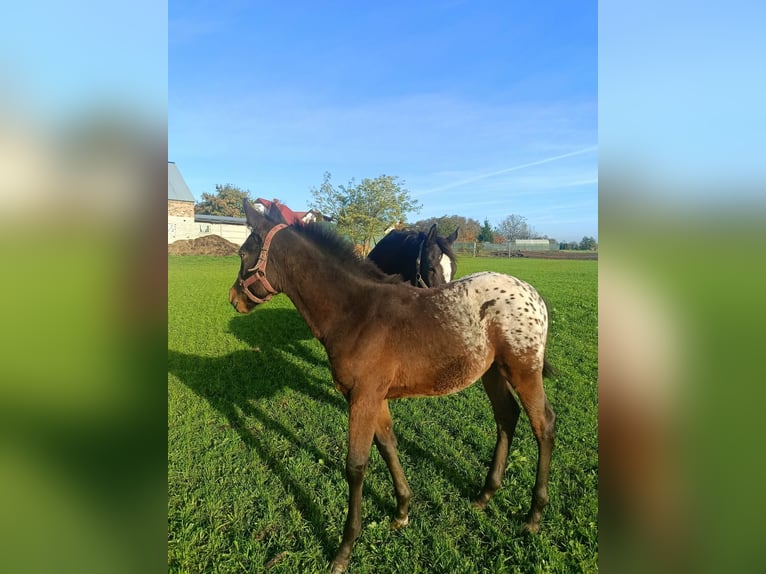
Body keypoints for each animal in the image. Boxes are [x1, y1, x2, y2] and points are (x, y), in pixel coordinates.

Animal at [229, 200, 556, 573]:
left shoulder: (362, 397)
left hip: (523, 369)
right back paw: (486, 494)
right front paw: (402, 511)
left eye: (243, 253)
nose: (234, 299)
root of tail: (534, 296)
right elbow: (388, 445)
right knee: (506, 416)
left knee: (543, 424)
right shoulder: (374, 397)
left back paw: (533, 515)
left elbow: (356, 466)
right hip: (492, 372)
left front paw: (344, 549)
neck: (356, 312)